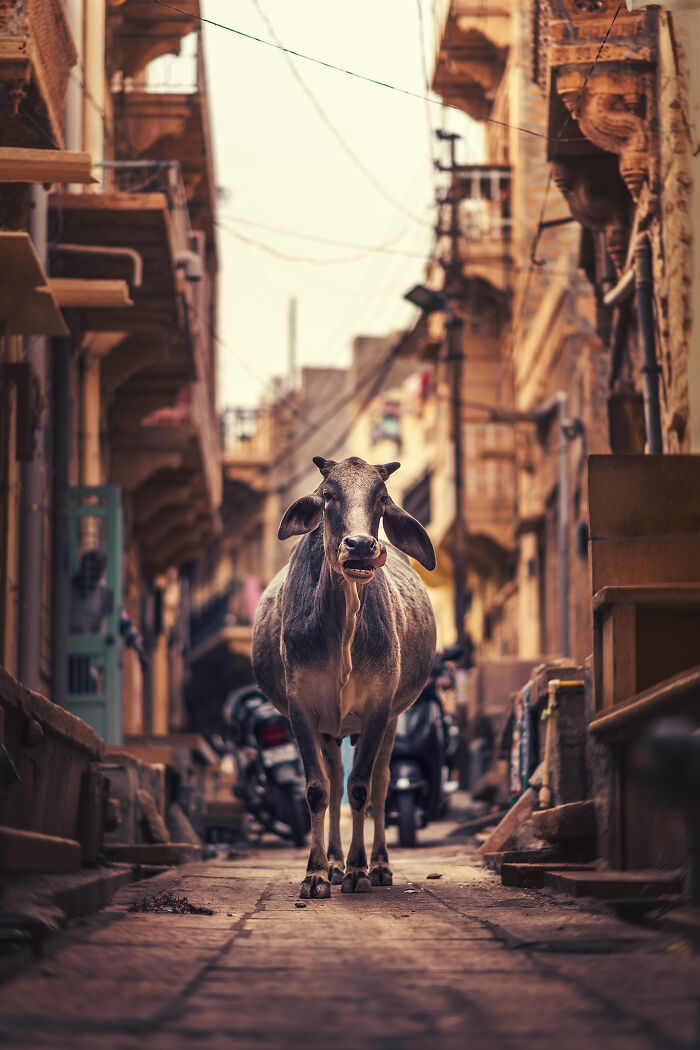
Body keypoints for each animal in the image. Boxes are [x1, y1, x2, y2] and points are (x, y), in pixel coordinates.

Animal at [252, 455, 436, 899]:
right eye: (328, 495)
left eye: (382, 497)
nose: (360, 546)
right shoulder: (300, 708)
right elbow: (318, 789)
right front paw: (317, 872)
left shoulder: (379, 708)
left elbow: (361, 788)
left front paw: (358, 870)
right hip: (329, 729)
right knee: (334, 783)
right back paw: (333, 862)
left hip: (392, 720)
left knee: (381, 786)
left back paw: (379, 865)